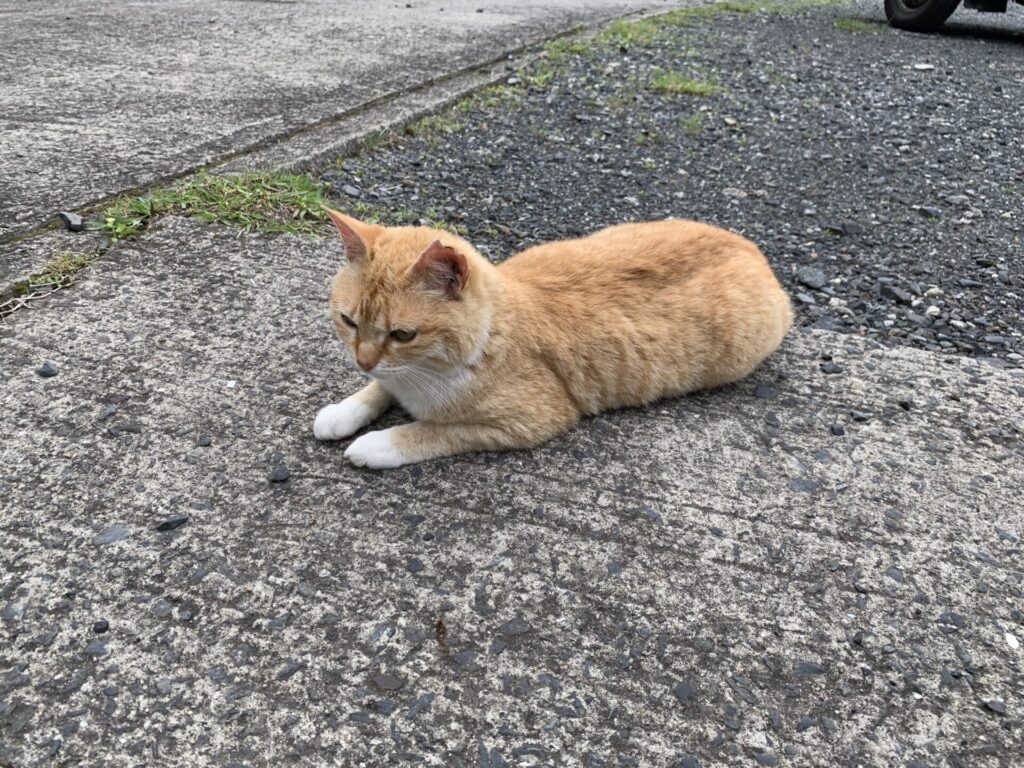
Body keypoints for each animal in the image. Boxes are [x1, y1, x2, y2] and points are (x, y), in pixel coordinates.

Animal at [315, 207, 794, 468]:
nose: (361, 360)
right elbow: (378, 389)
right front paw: (343, 411)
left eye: (402, 334)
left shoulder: (527, 422)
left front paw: (379, 443)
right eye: (349, 321)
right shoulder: (391, 375)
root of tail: (753, 249)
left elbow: (433, 430)